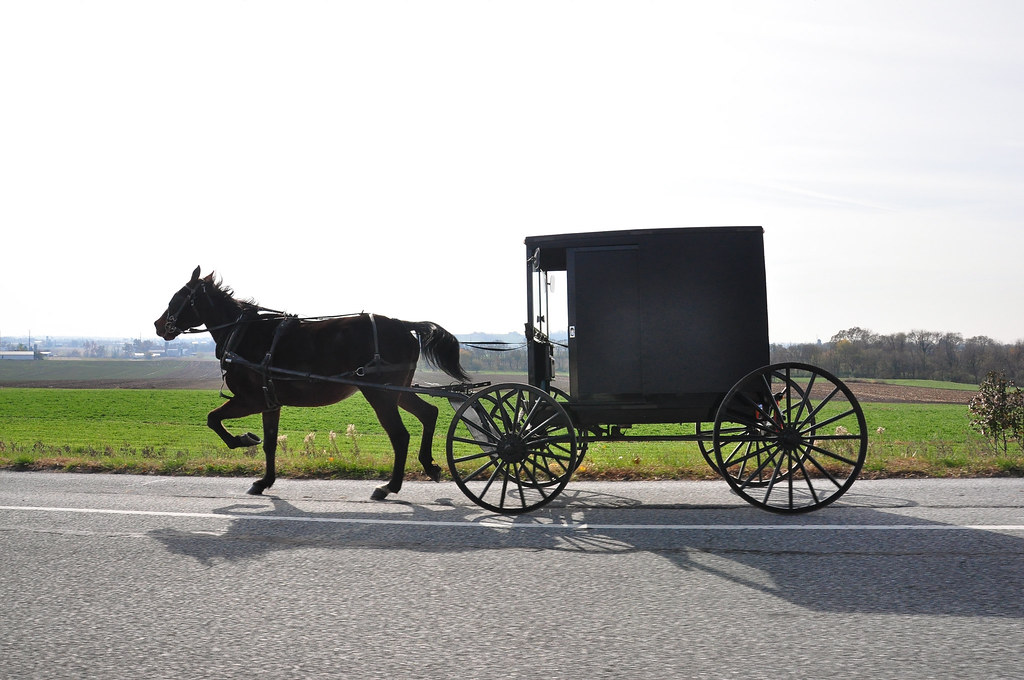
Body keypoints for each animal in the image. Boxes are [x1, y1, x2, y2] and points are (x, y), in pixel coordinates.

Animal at [153, 266, 468, 499]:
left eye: (178, 296)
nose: (158, 325)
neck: (244, 334)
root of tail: (403, 324)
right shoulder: (269, 402)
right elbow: (270, 443)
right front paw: (264, 481)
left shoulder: (250, 399)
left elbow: (212, 419)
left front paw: (243, 439)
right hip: (395, 391)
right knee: (429, 413)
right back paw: (430, 466)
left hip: (379, 394)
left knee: (400, 436)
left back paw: (389, 486)